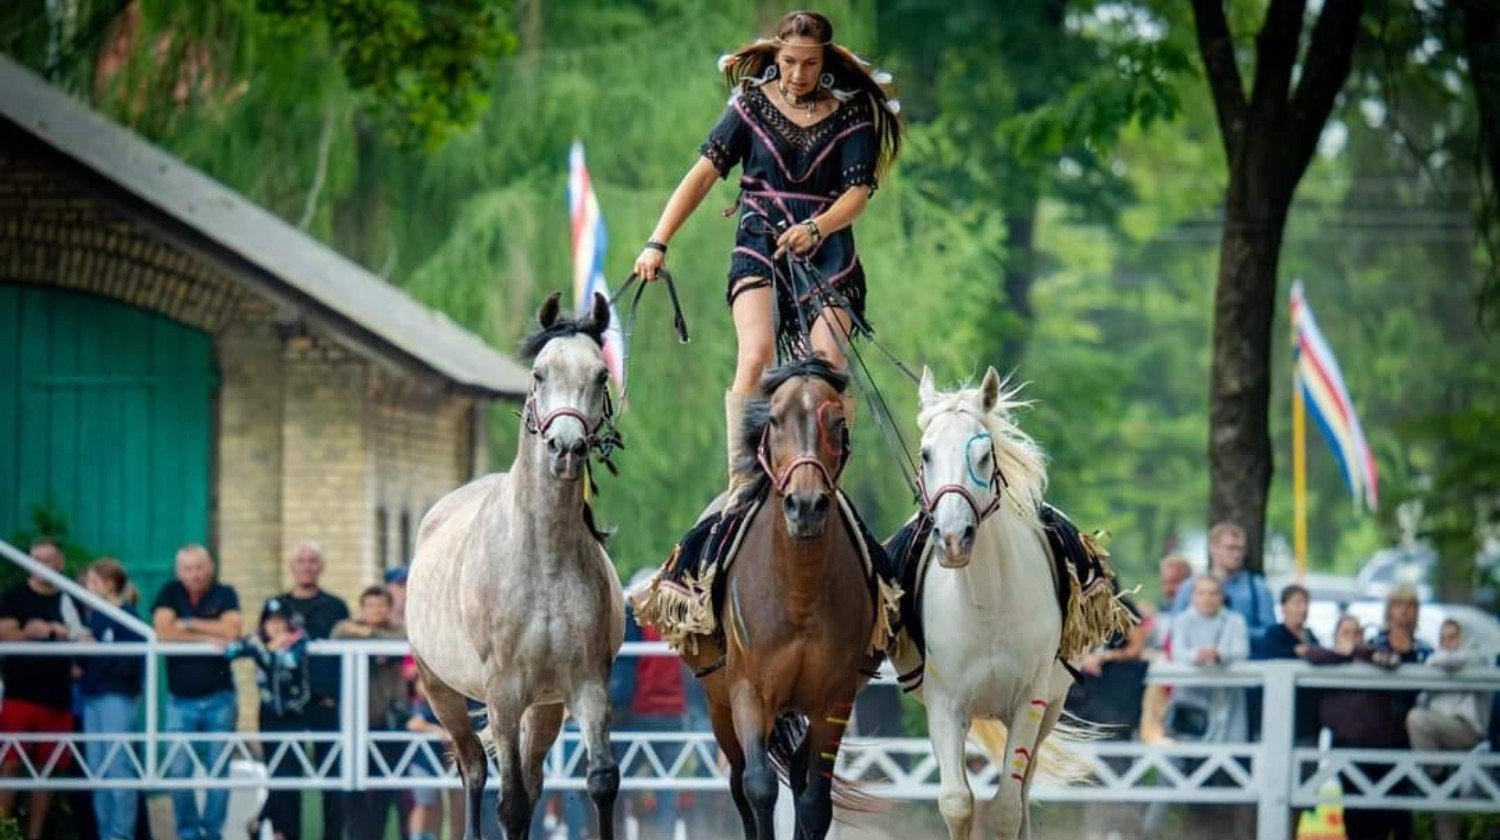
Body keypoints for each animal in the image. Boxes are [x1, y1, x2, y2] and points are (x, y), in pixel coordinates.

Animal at [406, 292, 624, 840]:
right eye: (540, 374)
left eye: (600, 375)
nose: (566, 449)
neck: (542, 560)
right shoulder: (502, 694)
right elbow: (511, 804)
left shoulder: (587, 684)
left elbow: (601, 781)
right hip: (441, 690)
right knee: (474, 768)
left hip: (545, 706)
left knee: (531, 777)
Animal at [682, 357, 891, 840]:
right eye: (774, 420)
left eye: (838, 422)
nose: (806, 505)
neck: (800, 593)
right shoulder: (748, 692)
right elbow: (759, 786)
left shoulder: (835, 699)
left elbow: (814, 801)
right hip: (718, 707)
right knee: (740, 783)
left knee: (798, 775)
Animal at [891, 366, 1093, 840]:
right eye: (926, 454)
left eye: (984, 455)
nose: (952, 539)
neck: (988, 601)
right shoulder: (945, 707)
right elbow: (957, 802)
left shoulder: (1029, 703)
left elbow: (1005, 810)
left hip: (1049, 708)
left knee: (1023, 789)